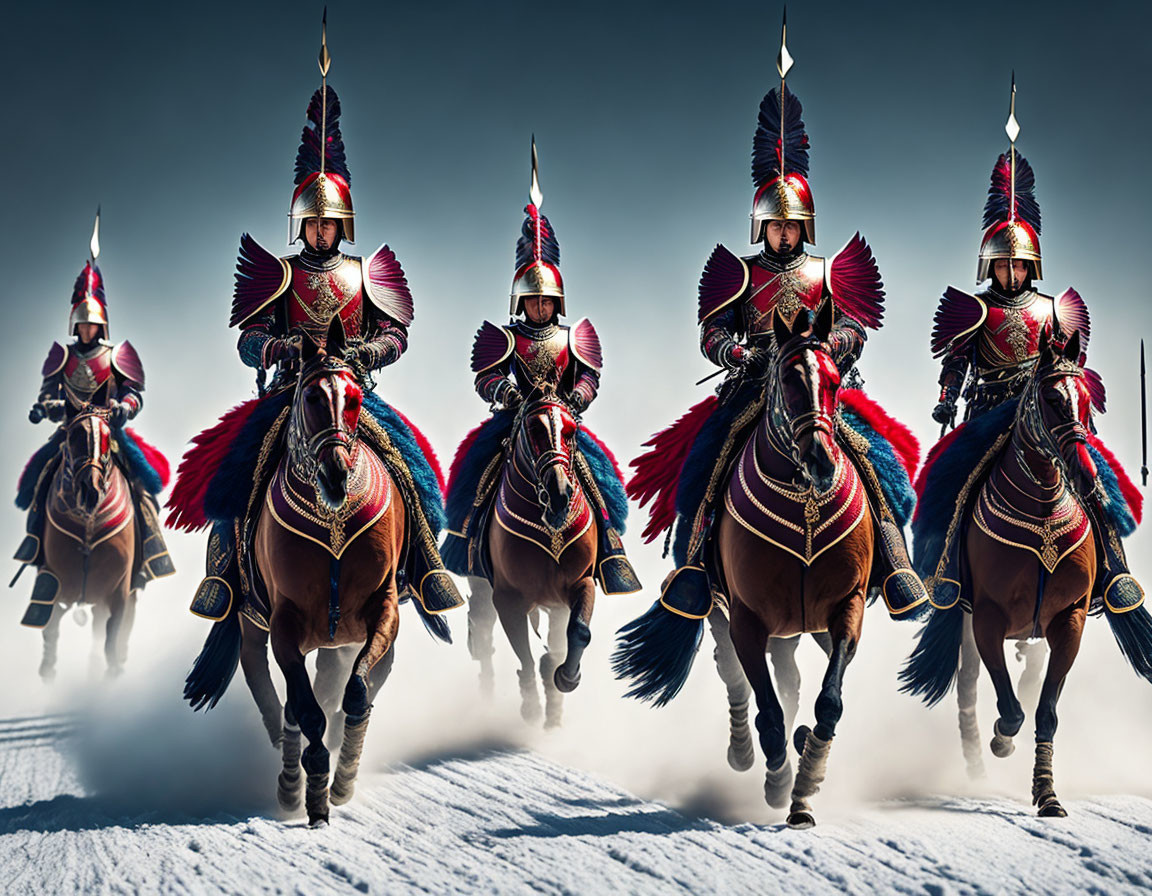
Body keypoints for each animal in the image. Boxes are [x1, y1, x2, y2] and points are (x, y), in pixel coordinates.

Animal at [32, 393, 137, 681]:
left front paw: (113, 673)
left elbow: (112, 636)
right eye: (74, 434)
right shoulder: (54, 583)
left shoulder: (119, 590)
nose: (90, 489)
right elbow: (50, 628)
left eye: (107, 436)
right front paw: (47, 672)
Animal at [184, 320, 405, 824]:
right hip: (250, 618)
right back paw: (289, 782)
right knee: (267, 686)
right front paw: (315, 791)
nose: (336, 476)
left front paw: (344, 777)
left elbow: (356, 692)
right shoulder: (285, 623)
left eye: (354, 397)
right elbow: (305, 710)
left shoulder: (384, 607)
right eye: (310, 397)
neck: (333, 524)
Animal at [465, 384, 599, 727]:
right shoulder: (508, 598)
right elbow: (523, 652)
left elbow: (578, 631)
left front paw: (566, 678)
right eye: (534, 428)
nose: (560, 493)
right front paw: (531, 706)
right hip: (481, 587)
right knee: (482, 633)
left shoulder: (580, 583)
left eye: (571, 430)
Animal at [622, 304, 870, 829]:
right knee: (732, 673)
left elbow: (828, 700)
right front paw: (779, 782)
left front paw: (807, 781)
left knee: (792, 678)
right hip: (723, 609)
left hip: (802, 626)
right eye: (788, 380)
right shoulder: (747, 617)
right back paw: (744, 752)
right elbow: (765, 705)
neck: (803, 509)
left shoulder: (846, 606)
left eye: (834, 381)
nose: (820, 461)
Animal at [898, 329, 1152, 815]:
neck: (1042, 509)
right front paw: (1001, 741)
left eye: (1086, 400)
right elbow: (1010, 708)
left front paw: (1047, 793)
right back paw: (978, 761)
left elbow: (1045, 710)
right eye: (1052, 398)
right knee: (970, 687)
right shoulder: (987, 617)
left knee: (1029, 673)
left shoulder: (1069, 619)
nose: (1086, 476)